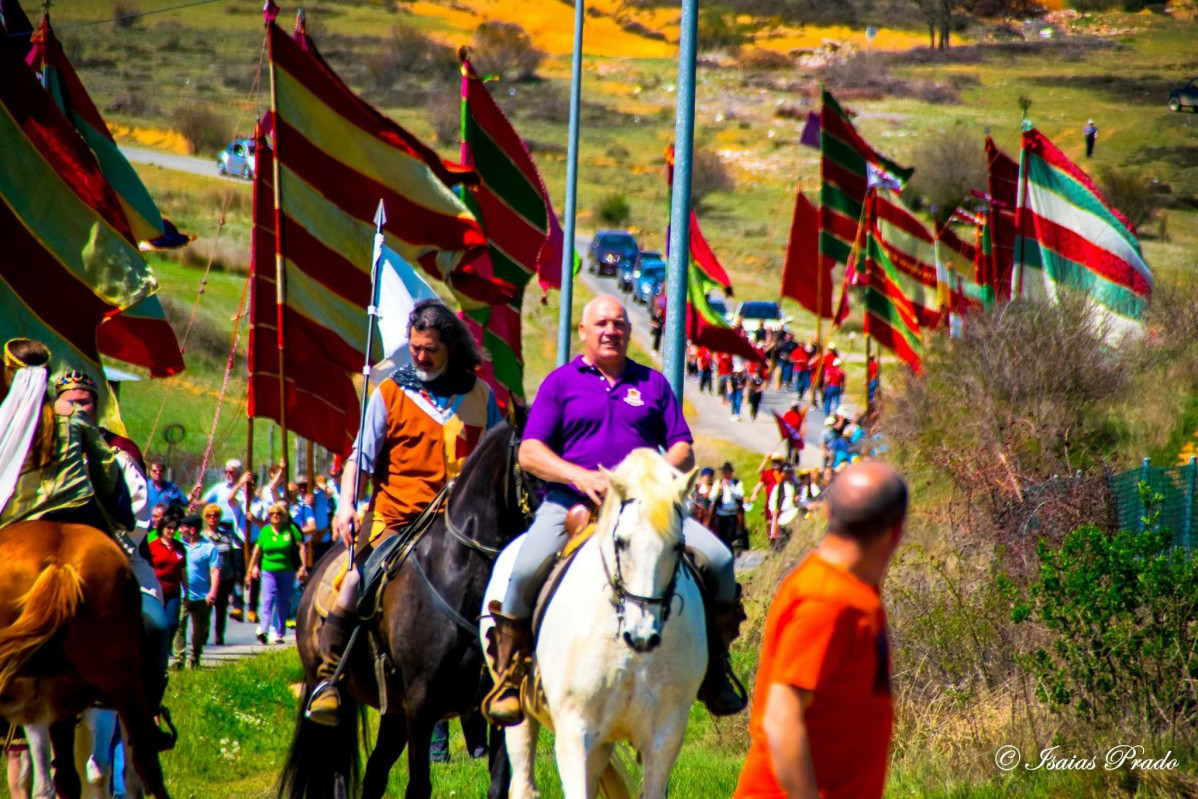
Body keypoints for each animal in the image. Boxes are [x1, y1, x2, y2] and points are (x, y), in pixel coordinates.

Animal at [277, 421, 536, 795]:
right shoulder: (420, 704)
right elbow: (419, 785)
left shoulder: (498, 706)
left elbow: (499, 784)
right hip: (336, 700)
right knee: (337, 769)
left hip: (394, 714)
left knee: (374, 773)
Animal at [481, 450, 704, 799]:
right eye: (621, 542)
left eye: (677, 546)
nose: (642, 635)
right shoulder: (574, 732)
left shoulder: (664, 738)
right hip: (521, 719)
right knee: (524, 780)